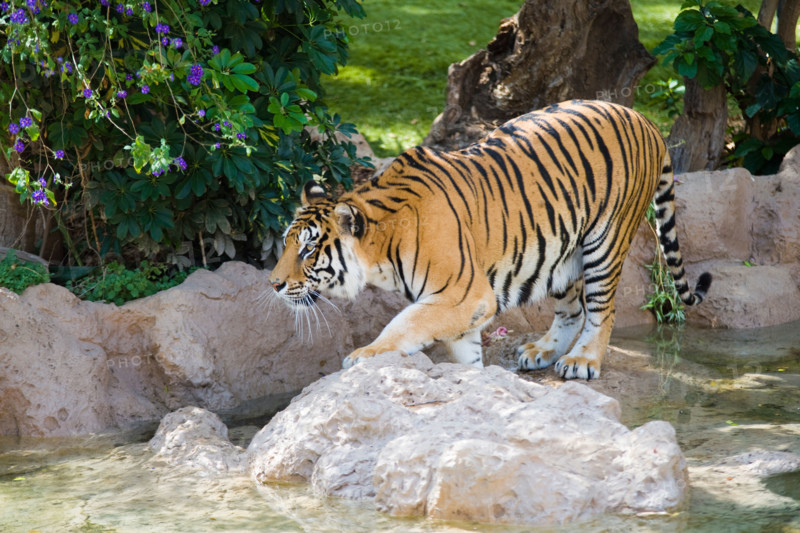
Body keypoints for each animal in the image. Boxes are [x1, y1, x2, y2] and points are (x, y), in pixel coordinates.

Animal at [268, 99, 712, 380]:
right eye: (288, 243)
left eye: (308, 249)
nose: (272, 284)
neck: (382, 246)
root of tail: (645, 119)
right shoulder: (462, 306)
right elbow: (464, 355)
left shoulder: (463, 294)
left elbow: (404, 323)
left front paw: (366, 354)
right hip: (562, 253)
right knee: (572, 309)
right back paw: (542, 351)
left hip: (605, 240)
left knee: (603, 309)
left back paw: (582, 360)